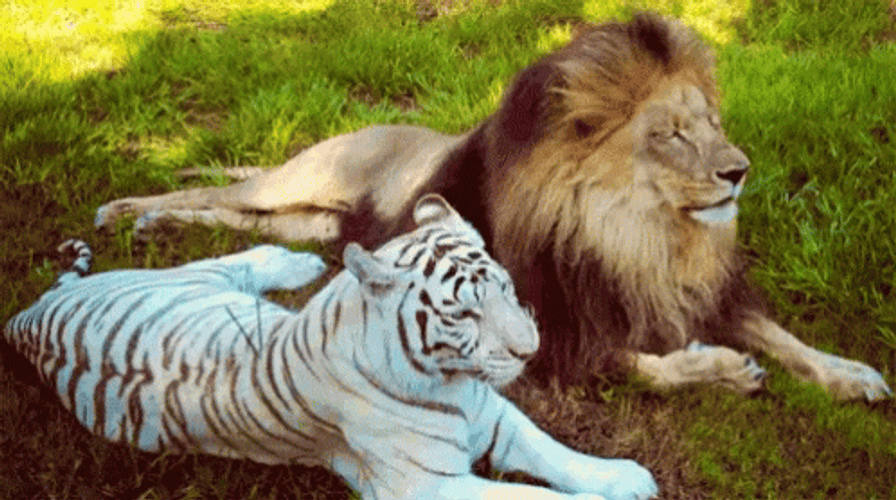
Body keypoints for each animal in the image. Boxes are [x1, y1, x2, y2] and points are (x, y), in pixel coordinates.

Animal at [5, 194, 658, 500]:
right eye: (464, 313)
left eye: (506, 288)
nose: (529, 350)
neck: (451, 379)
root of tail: (29, 318)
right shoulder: (429, 484)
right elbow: (535, 493)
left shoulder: (493, 414)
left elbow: (556, 454)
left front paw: (624, 477)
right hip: (180, 277)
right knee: (234, 256)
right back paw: (298, 260)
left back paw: (304, 264)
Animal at [95, 13, 891, 401]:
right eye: (670, 133)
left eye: (714, 124)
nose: (739, 172)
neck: (640, 232)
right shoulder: (555, 337)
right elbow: (640, 367)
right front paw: (722, 367)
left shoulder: (697, 292)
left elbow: (783, 336)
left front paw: (851, 375)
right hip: (290, 181)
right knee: (207, 192)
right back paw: (128, 210)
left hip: (309, 222)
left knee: (234, 219)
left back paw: (150, 224)